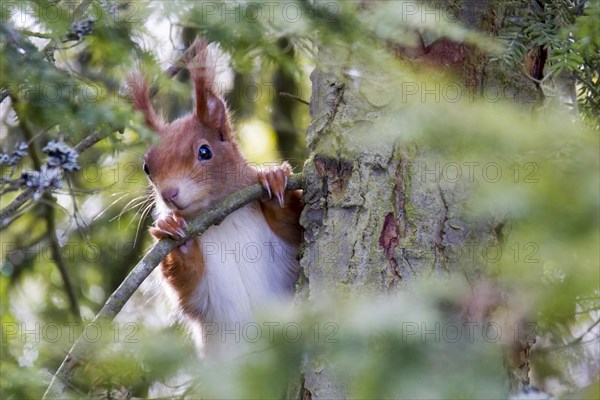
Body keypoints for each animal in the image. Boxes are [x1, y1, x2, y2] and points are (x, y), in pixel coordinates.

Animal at [128, 38, 302, 356]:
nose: (169, 194)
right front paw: (172, 231)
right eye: (147, 167)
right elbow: (189, 288)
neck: (223, 222)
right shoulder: (205, 298)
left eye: (204, 151)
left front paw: (274, 183)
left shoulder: (288, 258)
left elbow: (295, 230)